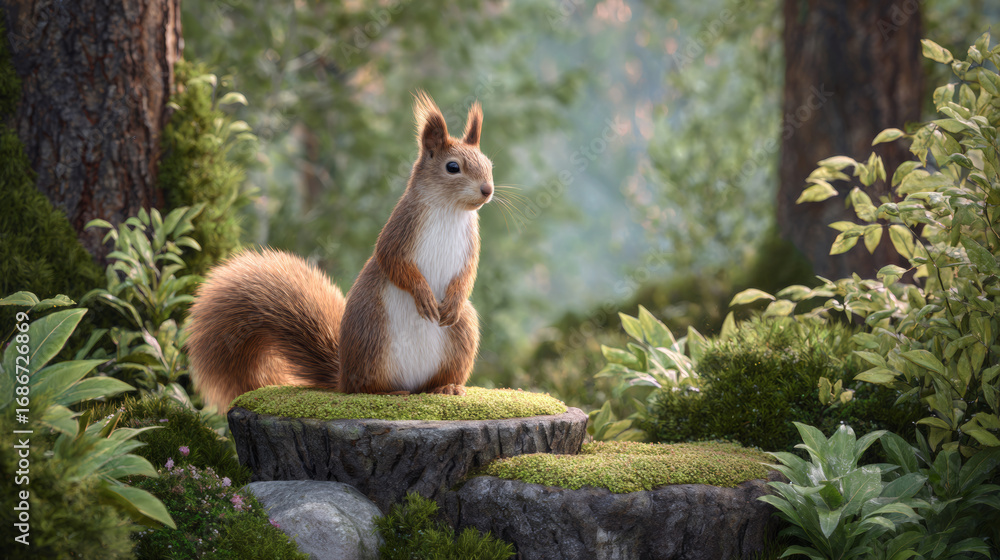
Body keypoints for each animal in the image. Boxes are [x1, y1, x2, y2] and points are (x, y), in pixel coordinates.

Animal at [185, 92, 494, 411]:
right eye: (453, 167)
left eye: (488, 163)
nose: (487, 190)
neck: (449, 210)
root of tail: (342, 375)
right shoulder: (399, 231)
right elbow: (392, 262)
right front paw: (423, 294)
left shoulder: (471, 246)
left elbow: (468, 274)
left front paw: (452, 301)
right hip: (371, 333)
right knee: (363, 387)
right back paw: (385, 393)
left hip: (462, 332)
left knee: (436, 375)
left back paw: (446, 387)